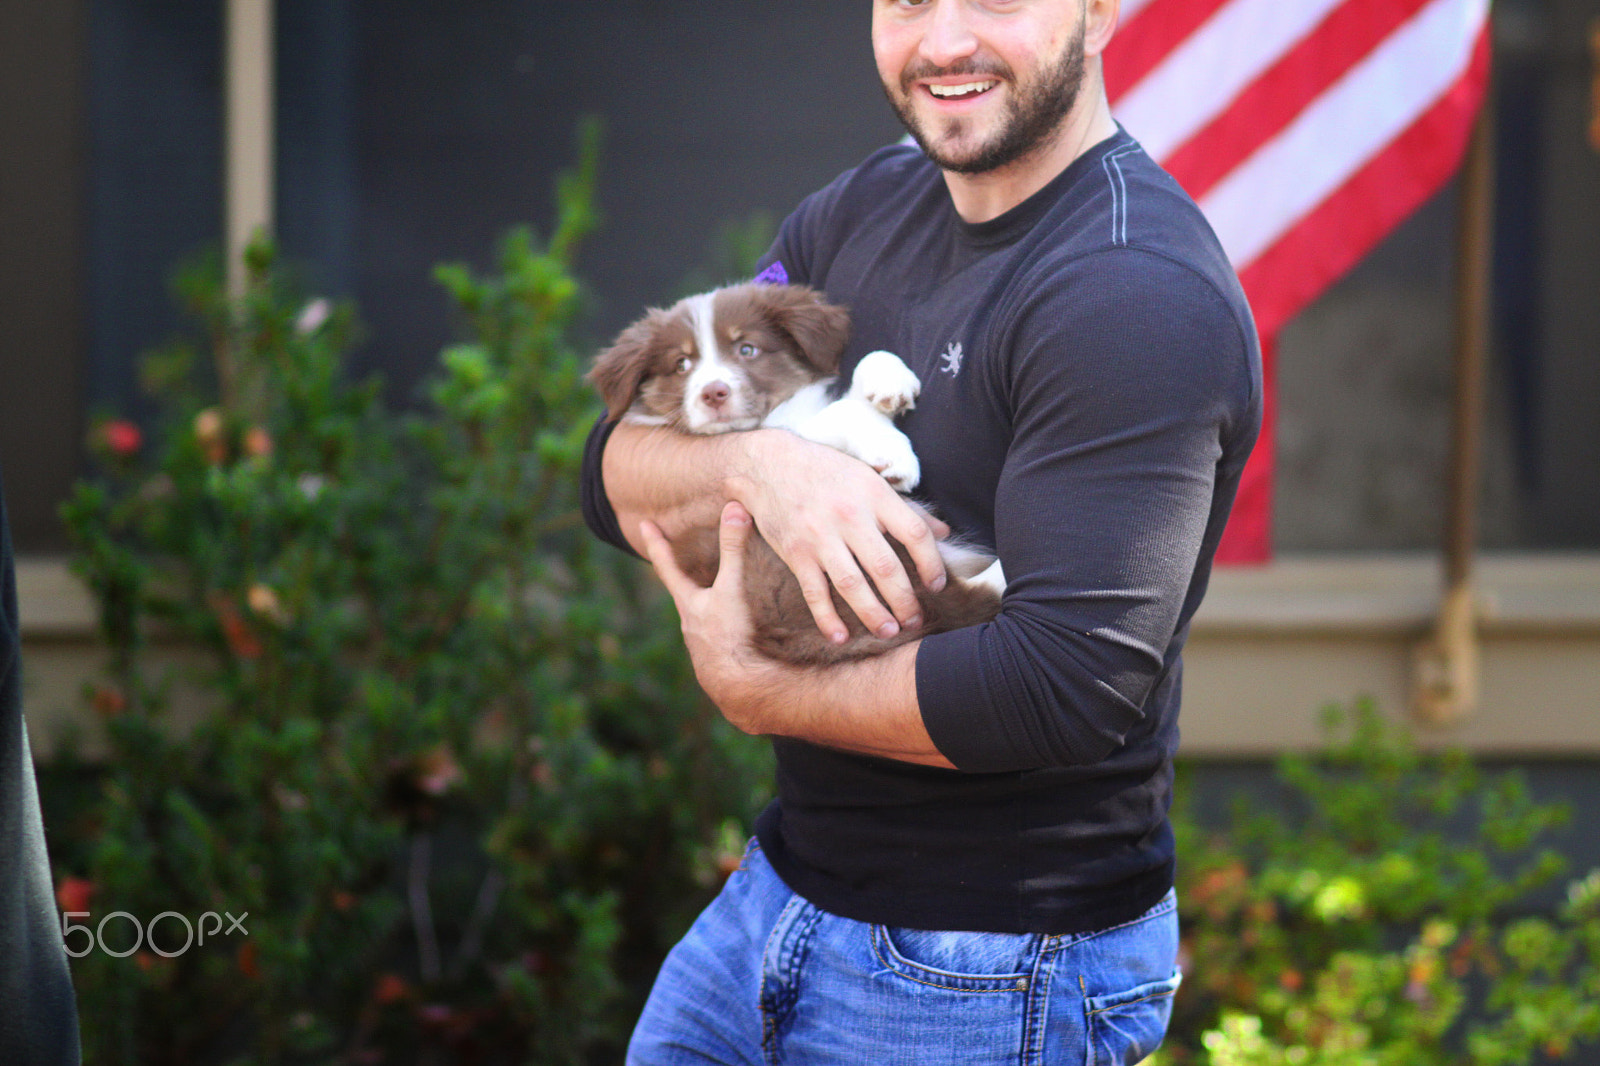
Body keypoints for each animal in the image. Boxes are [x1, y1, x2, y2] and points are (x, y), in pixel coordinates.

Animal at [588, 281, 998, 665]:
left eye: (747, 349)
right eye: (681, 364)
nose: (713, 393)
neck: (771, 416)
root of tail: (780, 637)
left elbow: (860, 375)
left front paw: (889, 384)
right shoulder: (796, 442)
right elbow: (843, 410)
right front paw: (893, 454)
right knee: (960, 603)